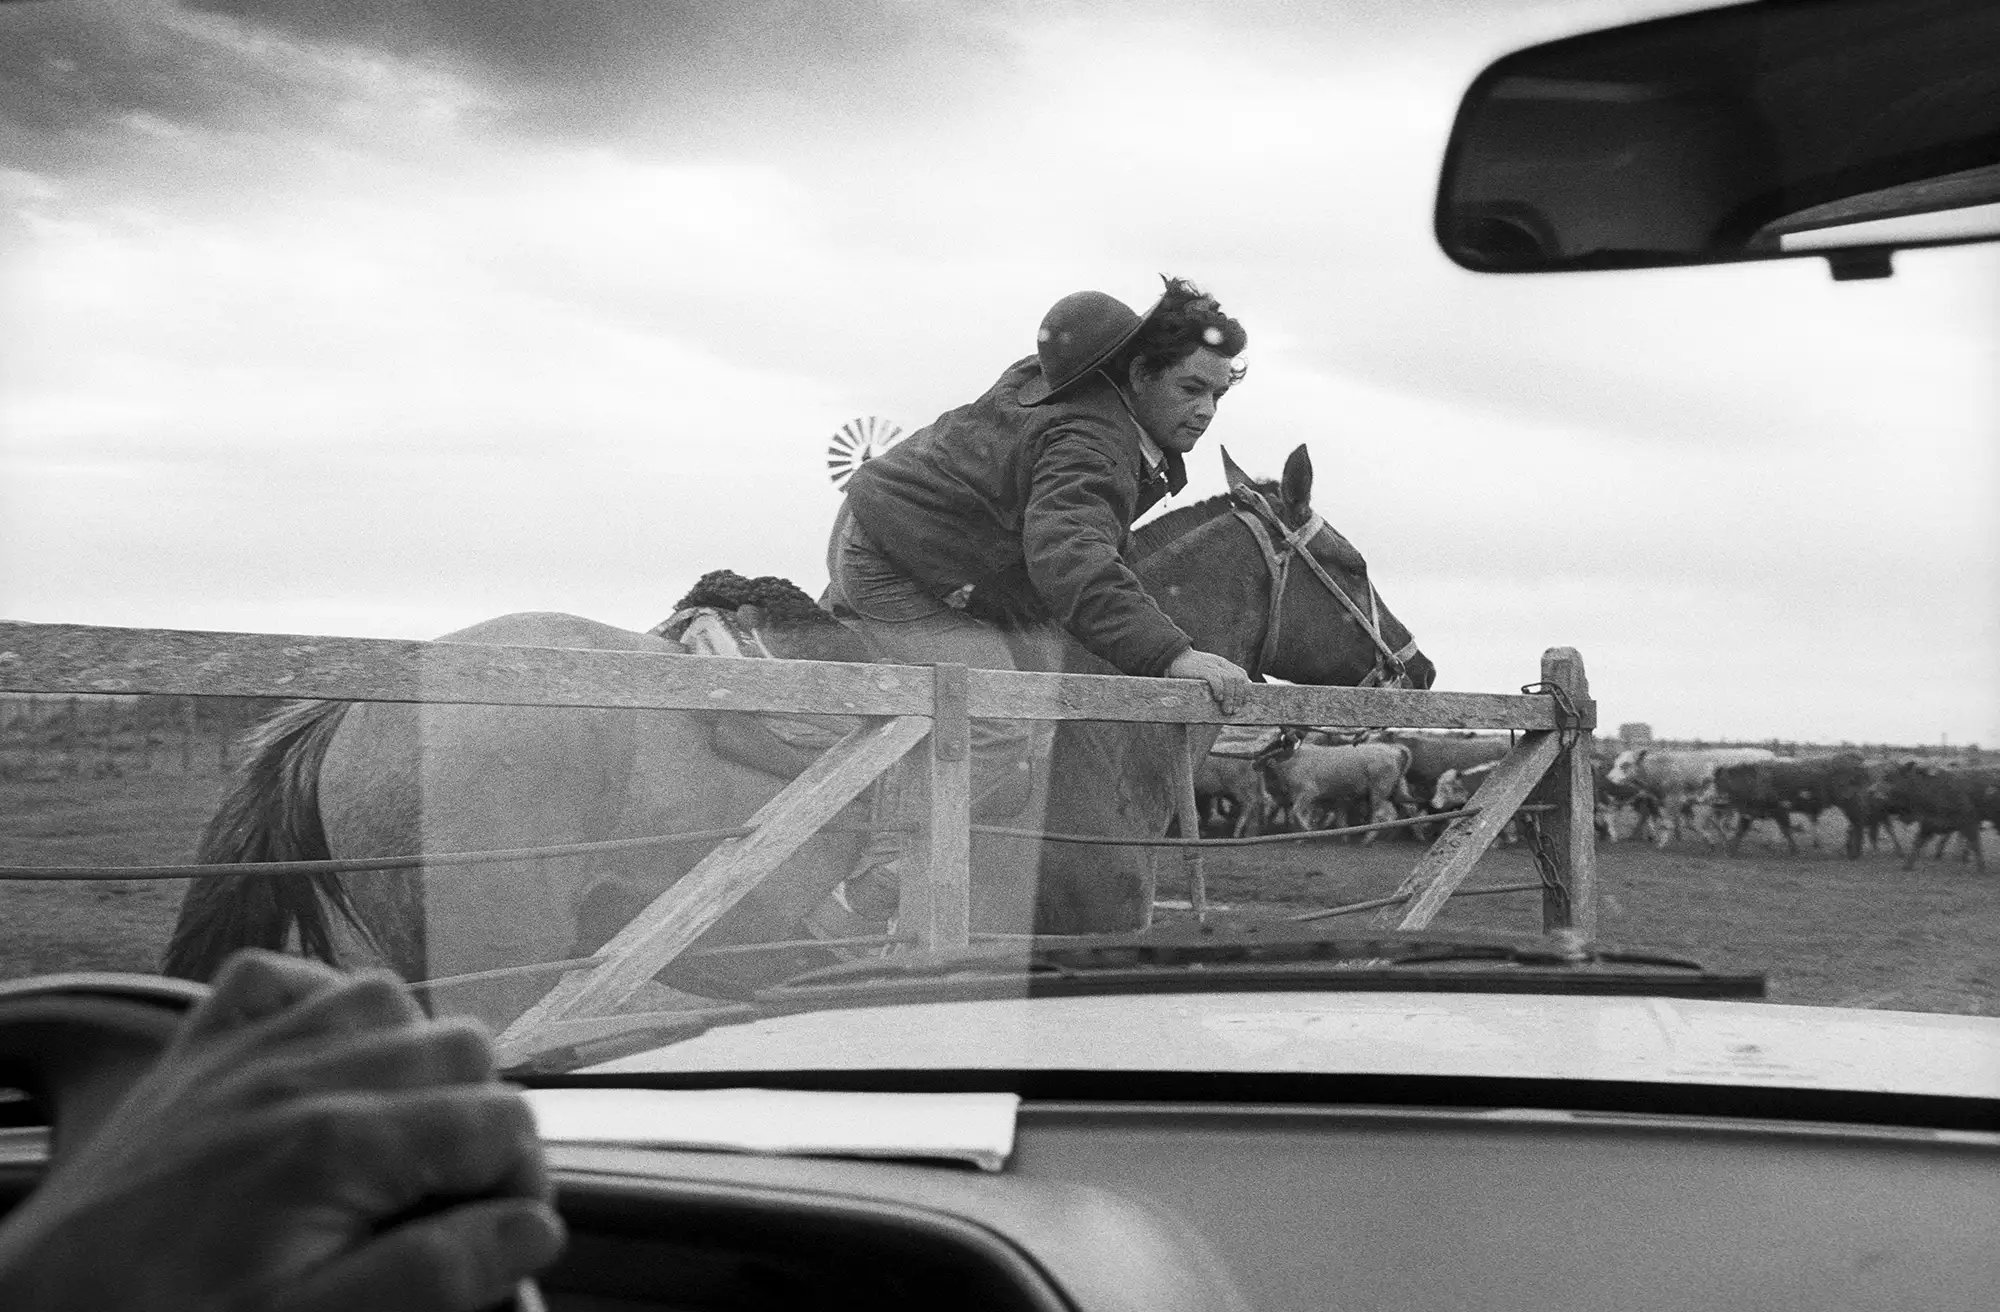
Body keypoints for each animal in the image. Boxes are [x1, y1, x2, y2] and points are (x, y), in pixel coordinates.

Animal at [1255, 735, 1414, 844]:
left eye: (1274, 745)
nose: (1255, 762)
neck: (1294, 759)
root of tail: (1394, 749)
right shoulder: (1317, 799)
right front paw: (1302, 837)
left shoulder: (1308, 793)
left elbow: (1297, 813)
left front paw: (1308, 831)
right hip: (1397, 790)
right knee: (1407, 809)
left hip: (1379, 792)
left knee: (1383, 814)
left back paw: (1367, 839)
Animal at [1605, 747, 1777, 846]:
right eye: (1615, 763)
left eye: (1625, 764)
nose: (1609, 778)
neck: (1663, 768)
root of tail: (1770, 755)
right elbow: (1692, 823)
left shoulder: (1674, 800)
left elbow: (1670, 823)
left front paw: (1662, 843)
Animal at [1710, 754, 1871, 856]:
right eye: (1716, 783)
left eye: (1724, 783)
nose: (1717, 802)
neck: (1756, 779)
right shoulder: (1750, 812)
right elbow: (1740, 830)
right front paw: (1731, 850)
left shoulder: (1780, 811)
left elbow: (1786, 830)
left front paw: (1794, 850)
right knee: (1856, 825)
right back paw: (1852, 851)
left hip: (1850, 805)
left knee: (1857, 824)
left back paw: (1853, 852)